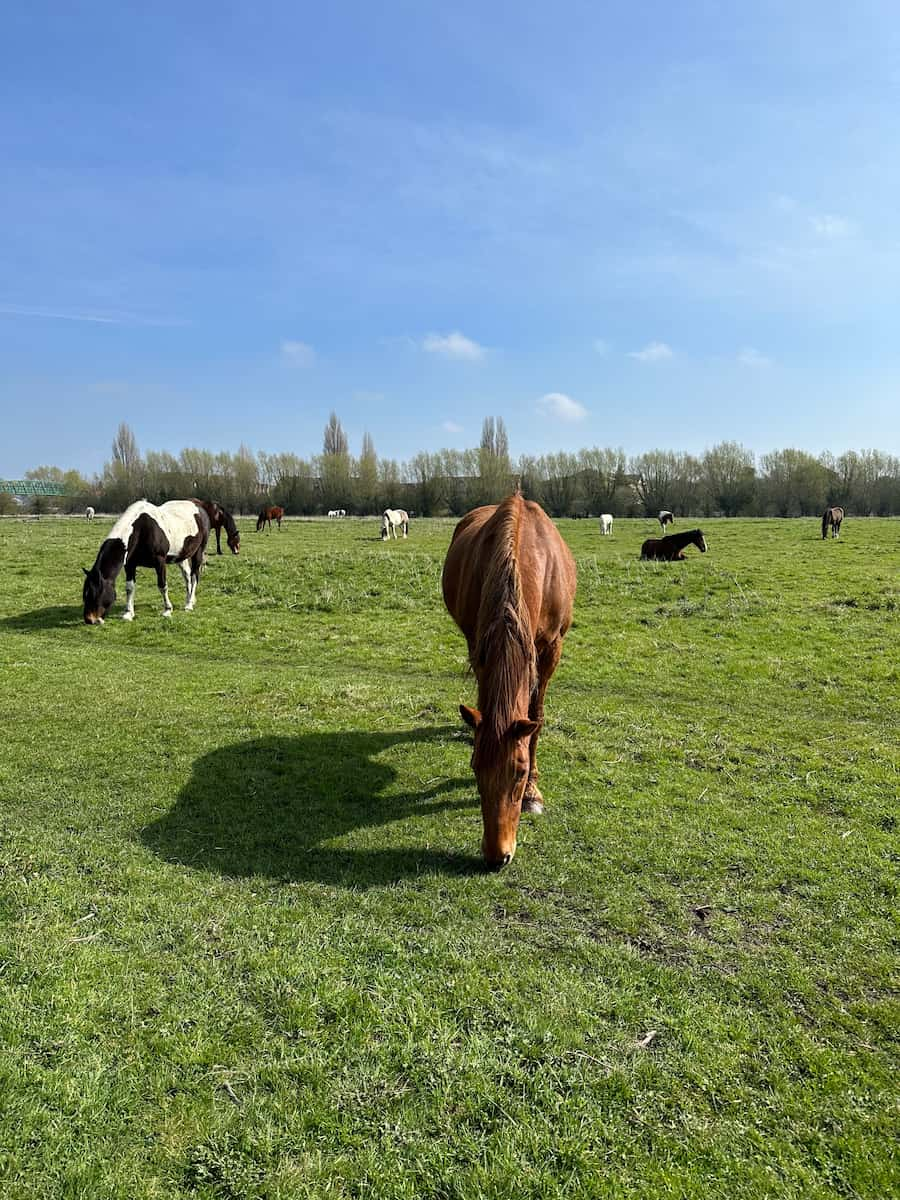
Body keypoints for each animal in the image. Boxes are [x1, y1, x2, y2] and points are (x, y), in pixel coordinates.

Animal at [82, 499, 212, 624]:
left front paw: (167, 610)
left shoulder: (160, 562)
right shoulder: (130, 565)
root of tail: (200, 508)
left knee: (194, 576)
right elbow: (129, 587)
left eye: (95, 594)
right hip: (181, 557)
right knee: (187, 577)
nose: (89, 619)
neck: (140, 529)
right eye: (85, 594)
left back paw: (189, 604)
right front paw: (128, 613)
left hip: (198, 552)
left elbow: (162, 585)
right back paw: (189, 600)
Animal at [441, 489, 578, 873]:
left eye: (519, 772)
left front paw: (533, 792)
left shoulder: (551, 650)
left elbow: (536, 718)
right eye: (475, 769)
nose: (496, 856)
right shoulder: (480, 645)